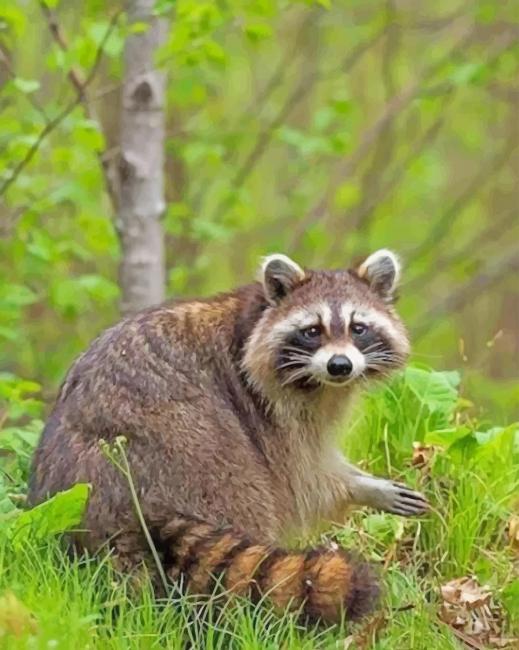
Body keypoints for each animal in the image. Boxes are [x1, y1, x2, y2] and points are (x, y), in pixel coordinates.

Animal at [29, 249, 428, 624]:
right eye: (312, 330)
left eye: (358, 327)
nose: (340, 366)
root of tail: (108, 494)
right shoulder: (269, 405)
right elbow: (304, 476)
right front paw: (359, 486)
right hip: (193, 450)